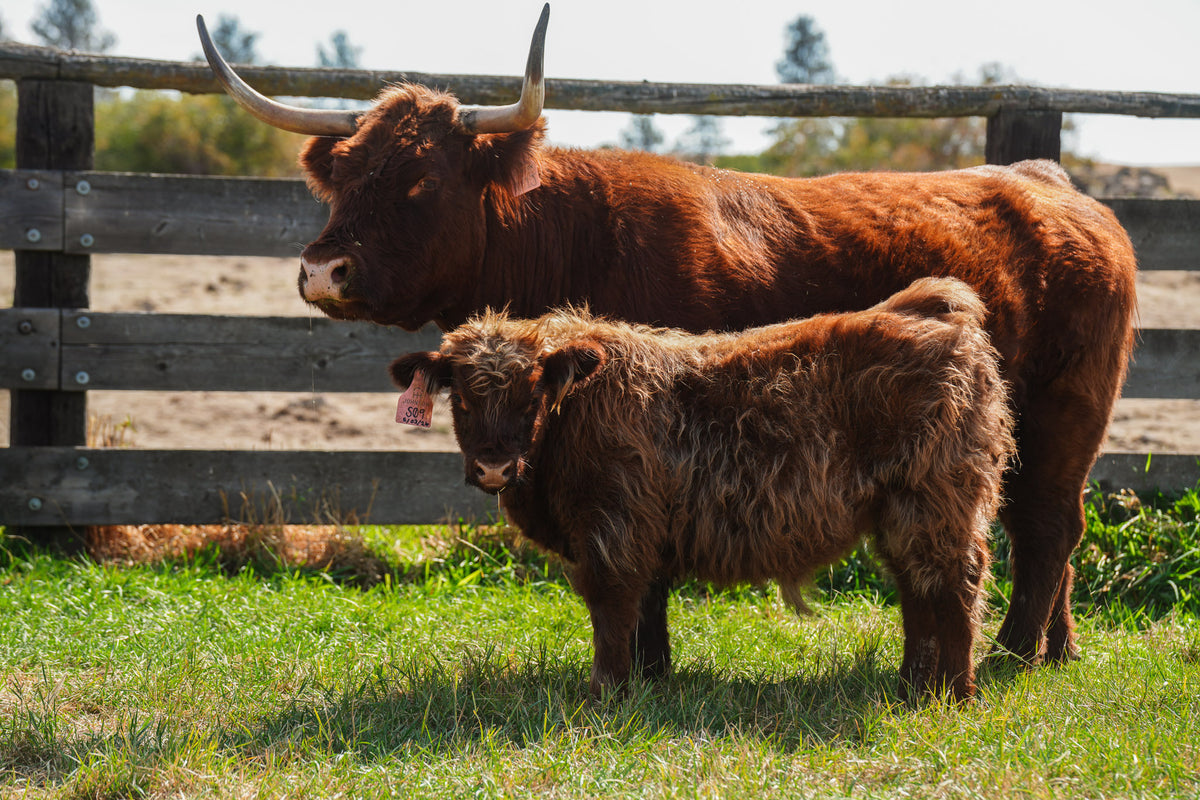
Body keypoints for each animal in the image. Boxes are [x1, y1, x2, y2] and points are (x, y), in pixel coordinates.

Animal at [389, 278, 1015, 700]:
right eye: (460, 398)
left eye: (531, 396)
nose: (494, 467)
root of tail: (931, 306)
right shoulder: (641, 533)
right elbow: (645, 614)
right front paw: (649, 681)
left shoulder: (613, 527)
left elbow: (611, 607)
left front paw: (605, 691)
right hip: (900, 512)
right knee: (916, 587)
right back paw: (913, 684)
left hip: (936, 504)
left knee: (954, 584)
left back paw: (954, 693)